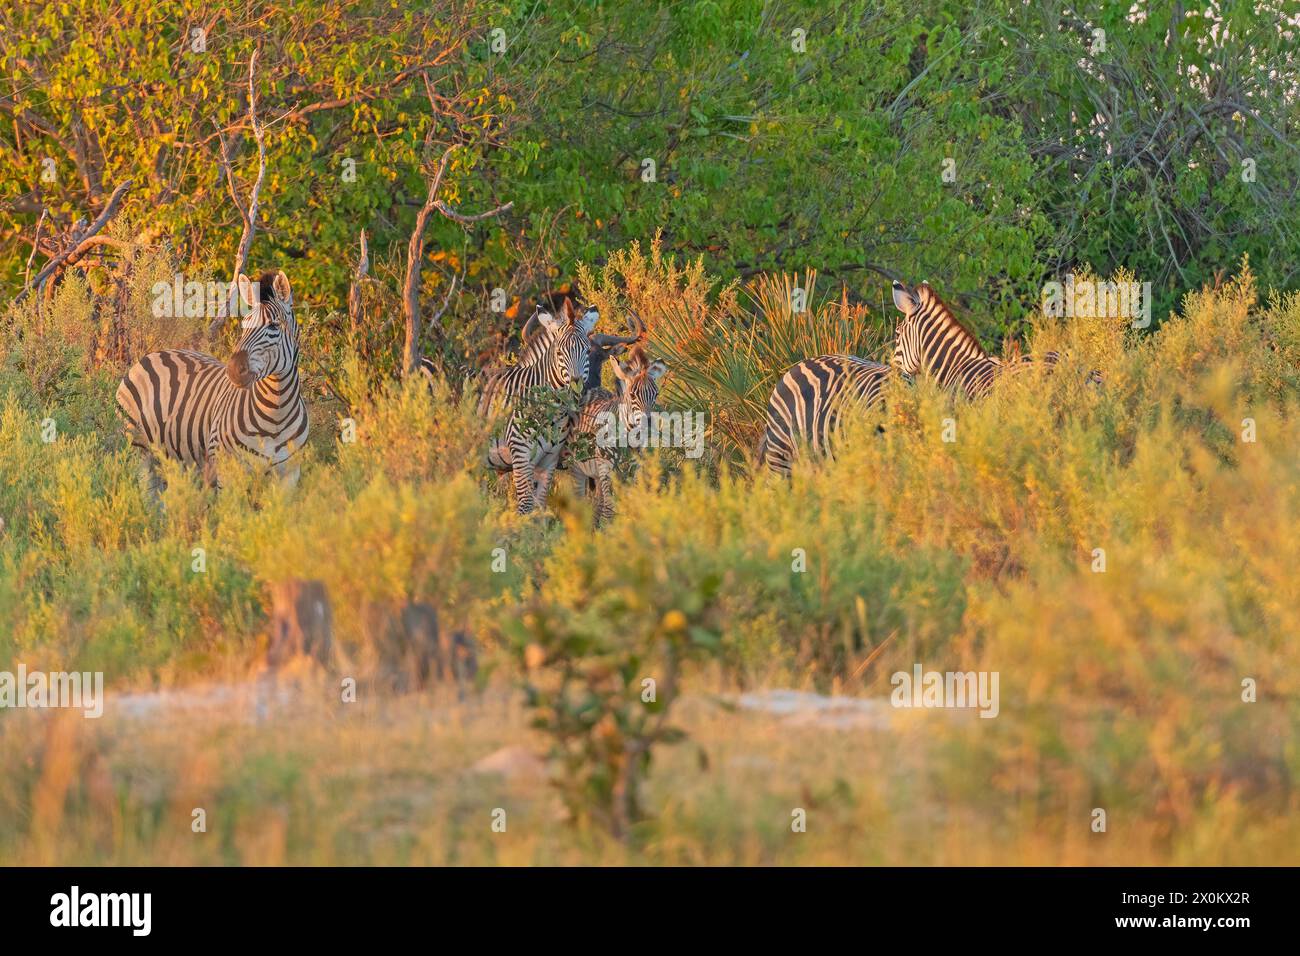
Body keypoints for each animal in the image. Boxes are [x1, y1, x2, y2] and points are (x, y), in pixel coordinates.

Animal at [116, 271, 309, 497]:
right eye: (245, 324)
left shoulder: (289, 476)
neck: (275, 414)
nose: (233, 370)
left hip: (176, 462)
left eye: (274, 326)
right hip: (140, 451)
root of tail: (153, 354)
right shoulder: (228, 471)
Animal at [482, 298, 598, 514]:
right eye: (559, 353)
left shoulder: (549, 461)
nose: (576, 388)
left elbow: (539, 506)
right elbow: (526, 506)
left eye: (588, 351)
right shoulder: (521, 456)